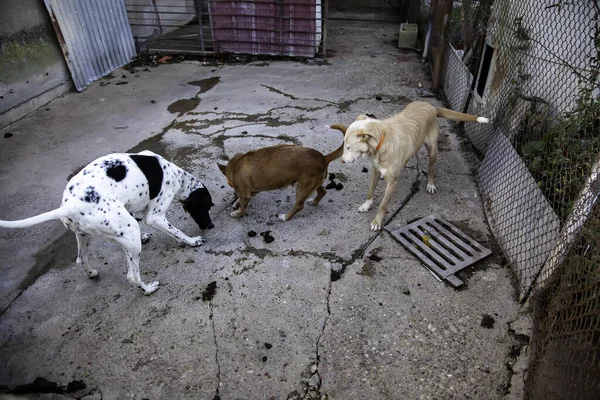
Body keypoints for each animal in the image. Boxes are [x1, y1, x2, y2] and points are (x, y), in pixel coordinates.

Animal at [336, 100, 490, 231]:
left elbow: (383, 205)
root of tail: (430, 106)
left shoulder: (392, 182)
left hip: (432, 149)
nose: (341, 161)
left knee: (431, 167)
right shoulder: (375, 170)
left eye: (348, 147)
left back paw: (431, 183)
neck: (381, 142)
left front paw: (377, 222)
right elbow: (370, 191)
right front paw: (367, 205)